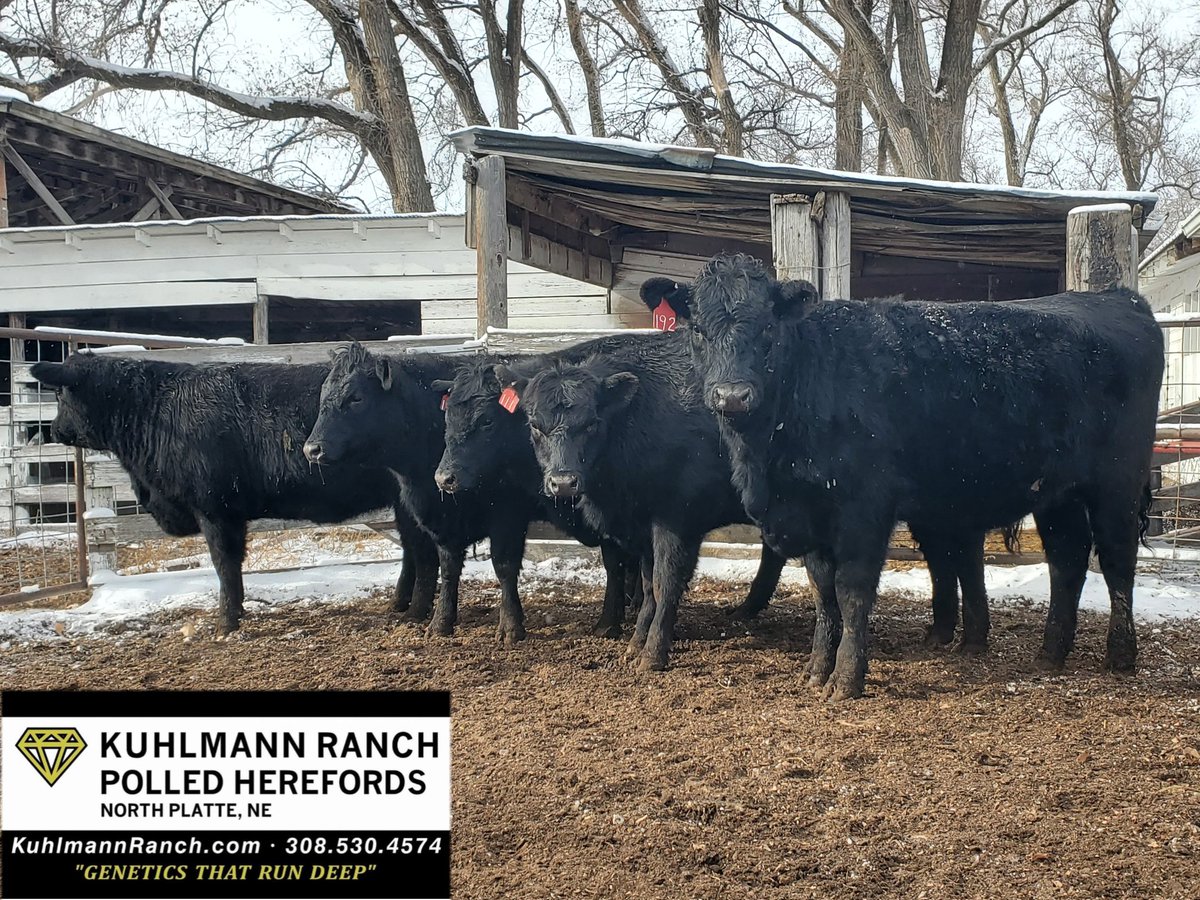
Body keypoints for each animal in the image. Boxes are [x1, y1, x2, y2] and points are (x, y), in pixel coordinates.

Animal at [31, 353, 439, 635]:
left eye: (61, 394)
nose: (54, 429)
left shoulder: (216, 509)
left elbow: (225, 565)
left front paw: (226, 622)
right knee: (412, 549)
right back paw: (399, 604)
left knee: (421, 549)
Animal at [494, 333, 790, 673]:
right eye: (534, 424)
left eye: (592, 423)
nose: (563, 482)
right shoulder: (642, 527)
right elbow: (648, 586)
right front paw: (636, 641)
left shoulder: (676, 522)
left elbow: (665, 584)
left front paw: (653, 652)